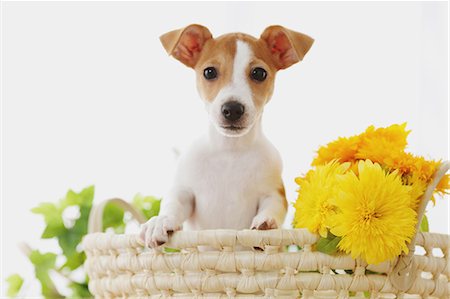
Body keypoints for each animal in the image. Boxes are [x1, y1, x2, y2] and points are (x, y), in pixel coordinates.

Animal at [141, 24, 312, 247]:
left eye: (259, 73)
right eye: (209, 72)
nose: (232, 109)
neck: (231, 151)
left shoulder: (274, 193)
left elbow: (273, 207)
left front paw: (267, 223)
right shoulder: (186, 193)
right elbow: (173, 203)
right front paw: (159, 221)